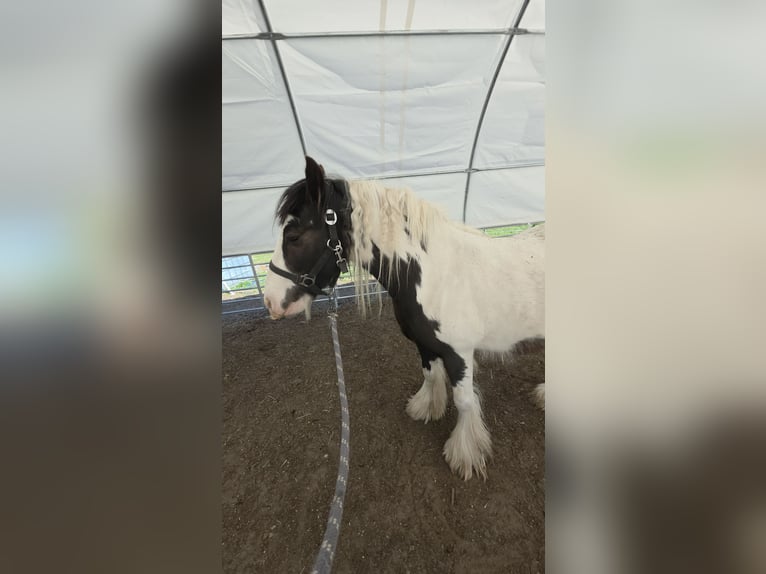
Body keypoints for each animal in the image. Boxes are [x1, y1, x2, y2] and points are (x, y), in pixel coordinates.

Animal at [264, 156, 545, 480]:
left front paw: (465, 455)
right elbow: (430, 375)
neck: (434, 275)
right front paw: (426, 409)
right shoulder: (425, 344)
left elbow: (464, 402)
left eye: (293, 236)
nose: (270, 302)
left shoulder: (459, 354)